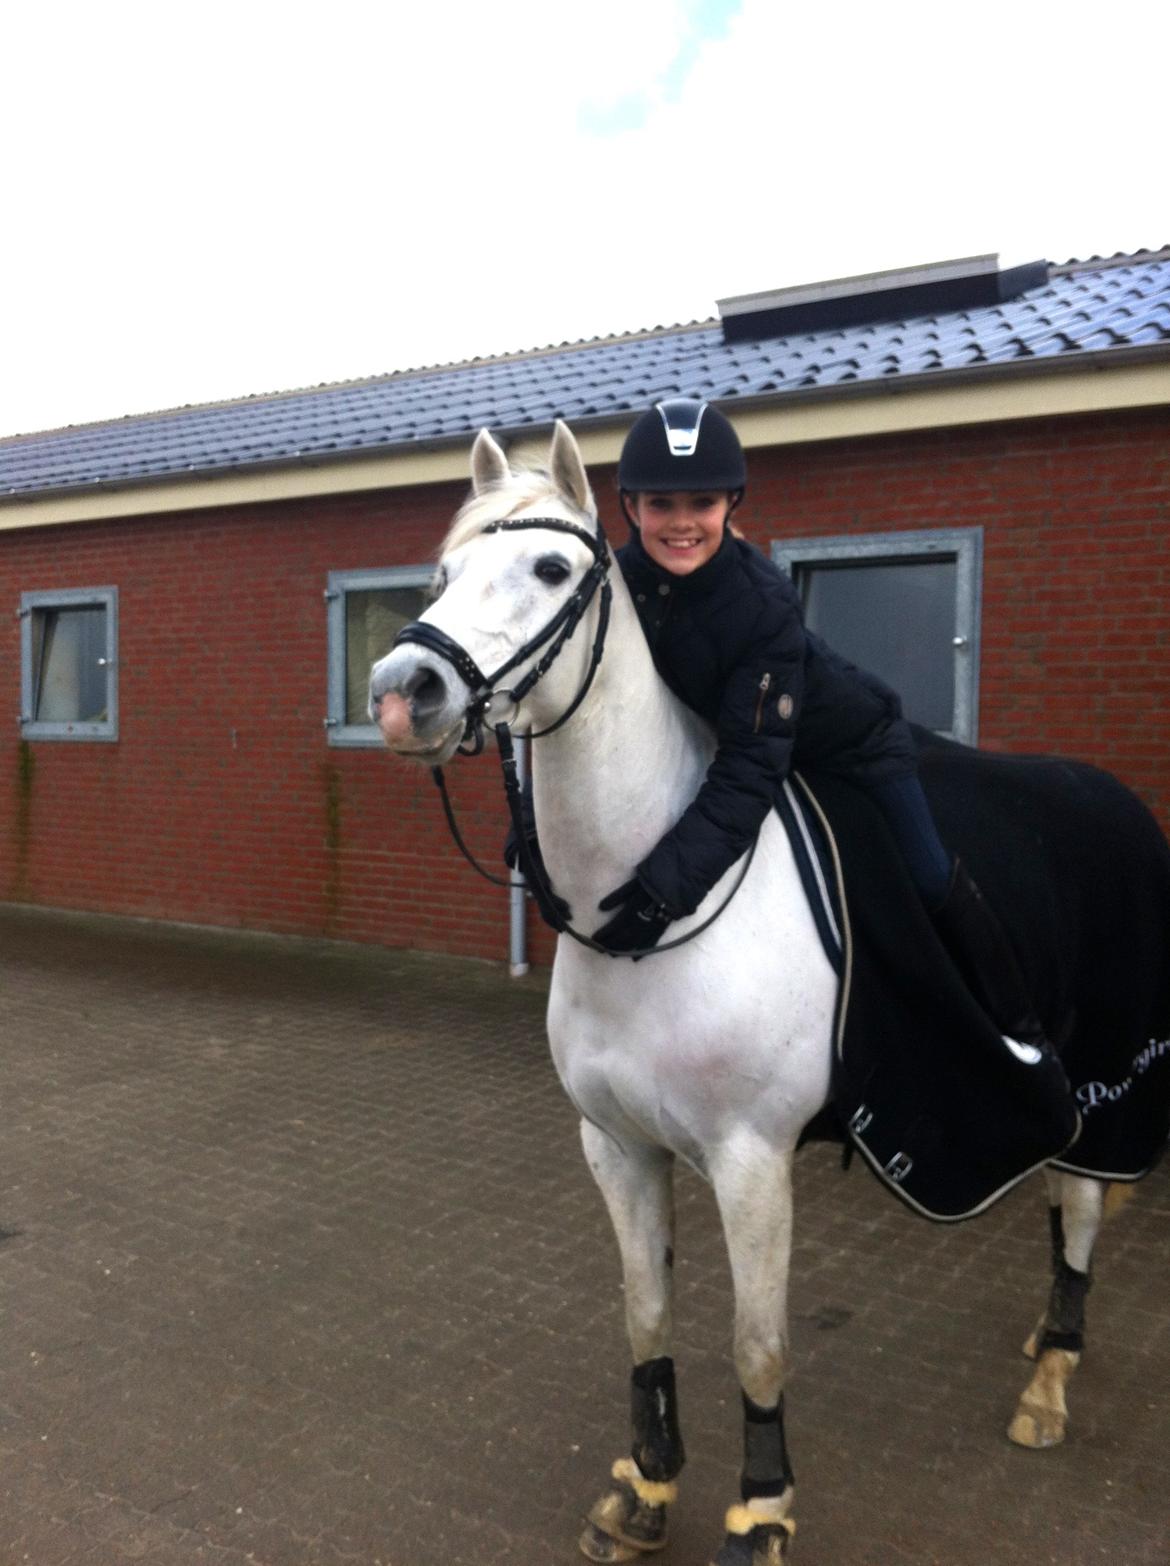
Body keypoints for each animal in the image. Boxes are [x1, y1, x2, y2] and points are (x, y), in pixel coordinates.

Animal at [369, 420, 1168, 1564]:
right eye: (441, 575)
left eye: (553, 569)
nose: (404, 692)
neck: (662, 906)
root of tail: (1116, 799)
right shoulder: (618, 1147)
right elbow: (646, 1315)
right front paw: (646, 1490)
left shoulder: (752, 1162)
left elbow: (757, 1346)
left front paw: (760, 1517)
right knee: (1065, 1203)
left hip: (1106, 1079)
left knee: (1089, 1202)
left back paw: (1050, 1381)